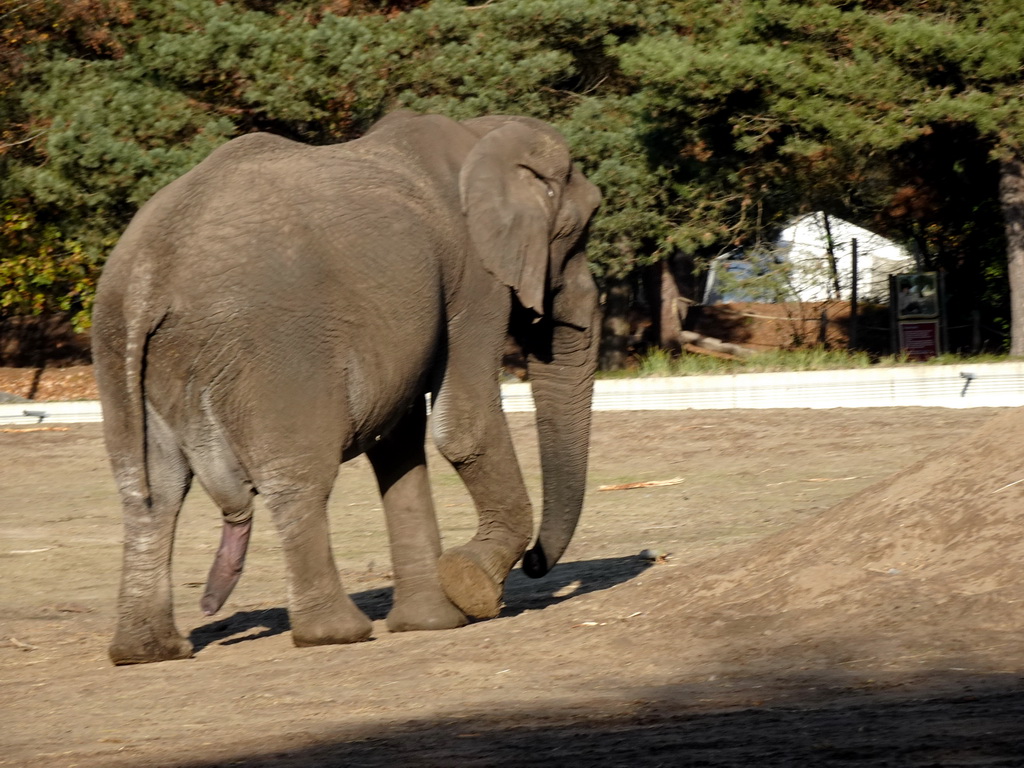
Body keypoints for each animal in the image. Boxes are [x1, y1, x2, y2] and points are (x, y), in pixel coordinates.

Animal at [92, 109, 602, 667]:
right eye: (582, 229)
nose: (534, 562)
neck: (481, 132)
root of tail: (149, 269)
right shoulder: (472, 278)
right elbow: (461, 428)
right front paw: (471, 584)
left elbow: (398, 444)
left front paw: (432, 622)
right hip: (275, 348)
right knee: (297, 476)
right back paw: (335, 632)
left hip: (119, 349)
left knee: (149, 490)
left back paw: (148, 651)